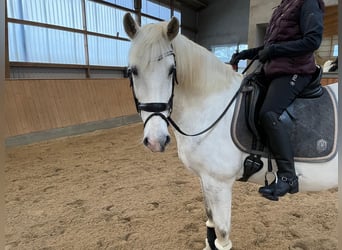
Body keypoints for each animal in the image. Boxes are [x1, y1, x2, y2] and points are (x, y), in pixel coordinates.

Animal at [122, 14, 336, 250]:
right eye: (132, 71)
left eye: (171, 70)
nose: (156, 140)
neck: (210, 105)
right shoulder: (205, 179)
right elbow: (210, 221)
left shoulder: (219, 183)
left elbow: (222, 235)